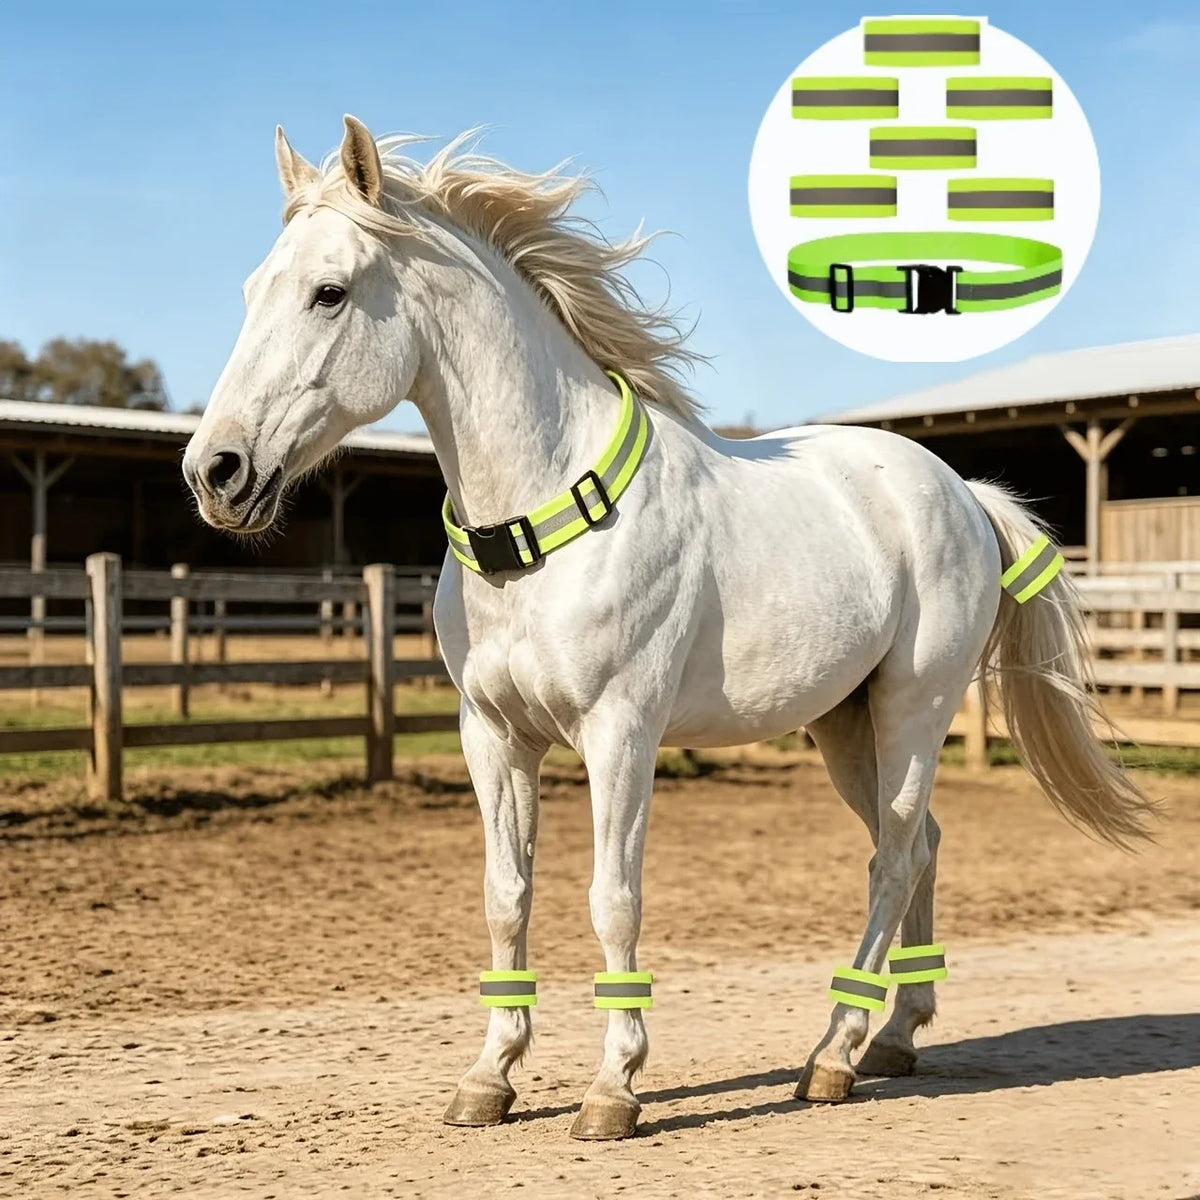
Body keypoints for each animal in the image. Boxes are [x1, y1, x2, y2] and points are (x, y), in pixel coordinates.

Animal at [183, 116, 1152, 1141]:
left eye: (329, 292)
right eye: (251, 290)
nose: (216, 471)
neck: (541, 526)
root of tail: (960, 491)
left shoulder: (621, 734)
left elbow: (614, 900)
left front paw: (614, 1089)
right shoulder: (494, 738)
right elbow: (505, 896)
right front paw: (490, 1079)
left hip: (912, 712)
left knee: (892, 858)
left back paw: (832, 1056)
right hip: (844, 727)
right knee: (921, 845)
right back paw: (895, 1038)